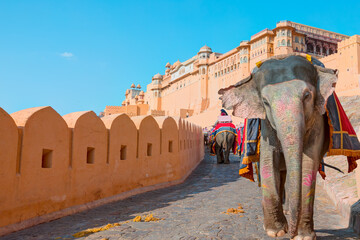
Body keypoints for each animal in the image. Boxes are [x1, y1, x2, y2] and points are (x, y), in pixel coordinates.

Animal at [218, 54, 338, 240]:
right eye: (265, 102)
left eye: (307, 95)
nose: (292, 234)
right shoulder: (265, 125)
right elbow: (268, 162)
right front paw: (276, 231)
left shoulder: (318, 118)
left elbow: (308, 164)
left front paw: (303, 235)